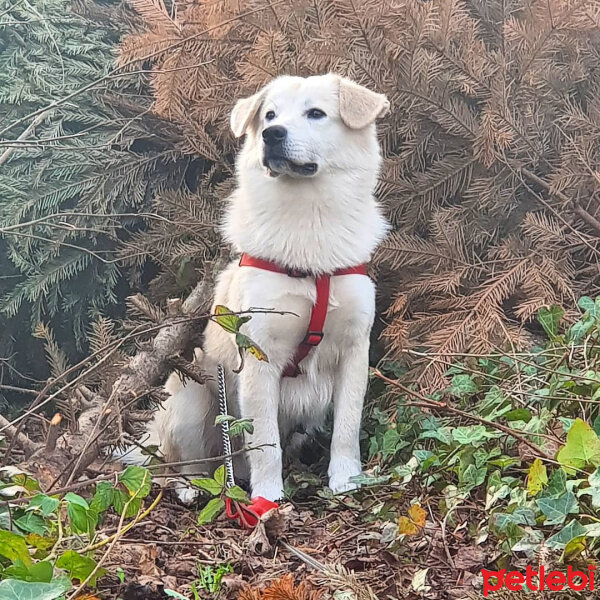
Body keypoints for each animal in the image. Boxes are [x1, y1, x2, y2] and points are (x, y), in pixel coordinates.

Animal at [132, 75, 390, 504]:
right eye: (269, 115)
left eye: (315, 113)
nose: (272, 134)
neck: (308, 223)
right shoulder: (259, 355)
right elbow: (265, 441)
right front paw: (268, 498)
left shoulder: (355, 350)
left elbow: (347, 427)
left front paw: (345, 479)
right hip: (191, 395)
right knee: (184, 463)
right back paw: (190, 487)